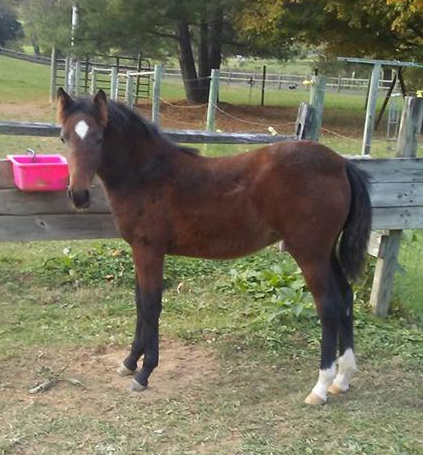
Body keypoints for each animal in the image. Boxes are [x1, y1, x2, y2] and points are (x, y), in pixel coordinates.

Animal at [56, 88, 372, 406]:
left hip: (310, 254)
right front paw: (129, 362)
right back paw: (342, 379)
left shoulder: (150, 250)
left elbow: (151, 305)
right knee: (345, 297)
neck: (147, 175)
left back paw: (320, 387)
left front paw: (144, 373)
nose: (78, 195)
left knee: (328, 306)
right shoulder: (138, 249)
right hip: (326, 253)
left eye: (99, 138)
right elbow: (139, 303)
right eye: (63, 137)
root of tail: (341, 163)